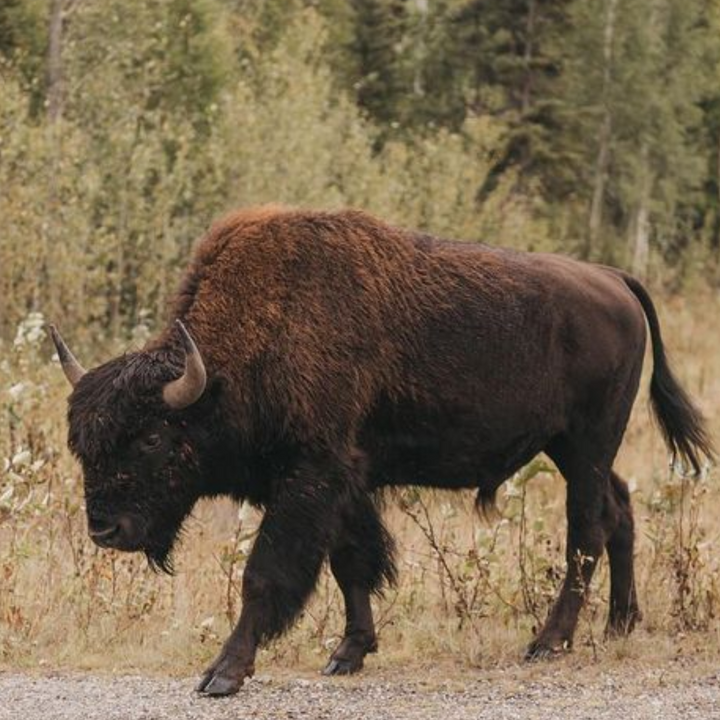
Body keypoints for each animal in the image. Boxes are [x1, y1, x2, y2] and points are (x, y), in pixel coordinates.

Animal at [50, 206, 714, 696]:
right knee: (619, 510)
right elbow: (352, 563)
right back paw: (621, 623)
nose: (105, 529)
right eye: (82, 443)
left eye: (152, 437)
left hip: (587, 443)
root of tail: (614, 278)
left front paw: (222, 673)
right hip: (576, 451)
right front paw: (348, 653)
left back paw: (548, 642)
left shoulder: (310, 478)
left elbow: (265, 574)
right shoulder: (345, 480)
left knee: (586, 531)